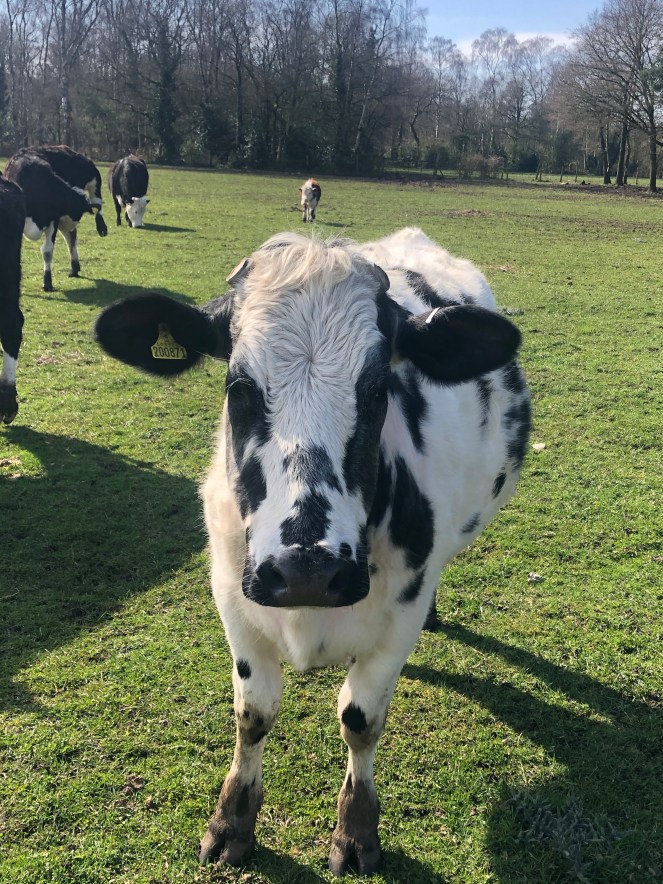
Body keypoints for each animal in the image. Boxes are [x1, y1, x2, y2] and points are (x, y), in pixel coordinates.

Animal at [94, 227, 530, 876]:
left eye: (377, 389)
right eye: (239, 388)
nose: (307, 570)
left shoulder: (400, 615)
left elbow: (361, 719)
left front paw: (356, 831)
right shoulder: (232, 596)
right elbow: (253, 713)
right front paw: (231, 823)